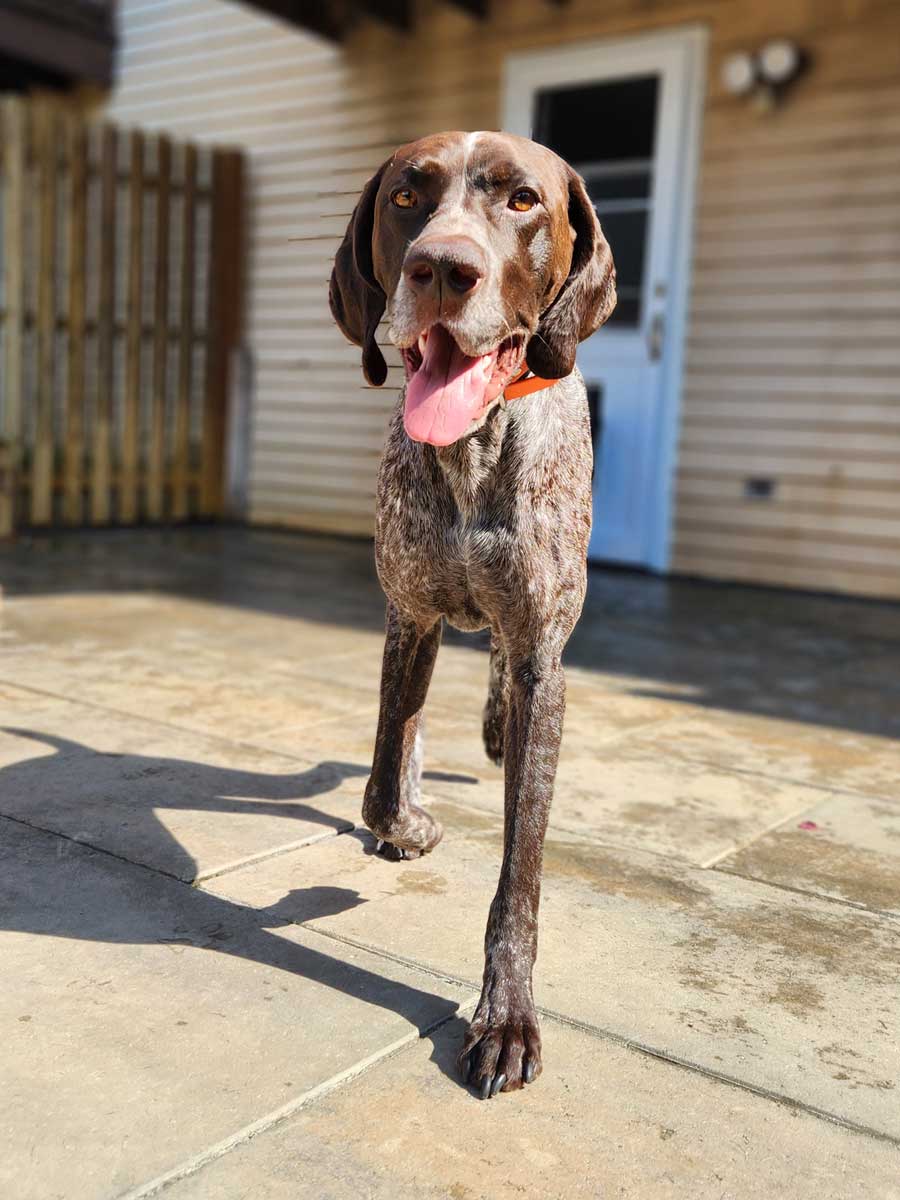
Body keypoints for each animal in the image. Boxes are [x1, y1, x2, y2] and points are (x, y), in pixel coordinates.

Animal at [331, 129, 619, 1099]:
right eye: (406, 197)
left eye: (522, 200)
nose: (442, 269)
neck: (472, 444)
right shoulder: (410, 617)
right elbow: (382, 782)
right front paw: (408, 825)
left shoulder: (539, 658)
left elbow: (520, 873)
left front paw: (506, 1017)